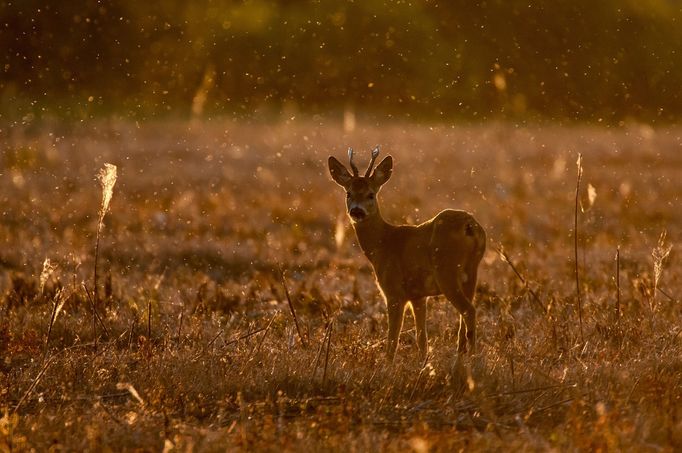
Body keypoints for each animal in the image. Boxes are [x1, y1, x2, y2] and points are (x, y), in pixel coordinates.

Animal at [328, 147, 484, 362]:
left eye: (371, 194)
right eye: (348, 193)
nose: (356, 211)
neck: (383, 244)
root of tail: (470, 226)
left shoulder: (394, 290)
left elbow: (392, 340)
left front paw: (387, 365)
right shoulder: (418, 295)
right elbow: (422, 339)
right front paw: (423, 363)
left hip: (447, 272)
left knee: (468, 310)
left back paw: (472, 359)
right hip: (471, 273)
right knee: (465, 316)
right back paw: (461, 357)